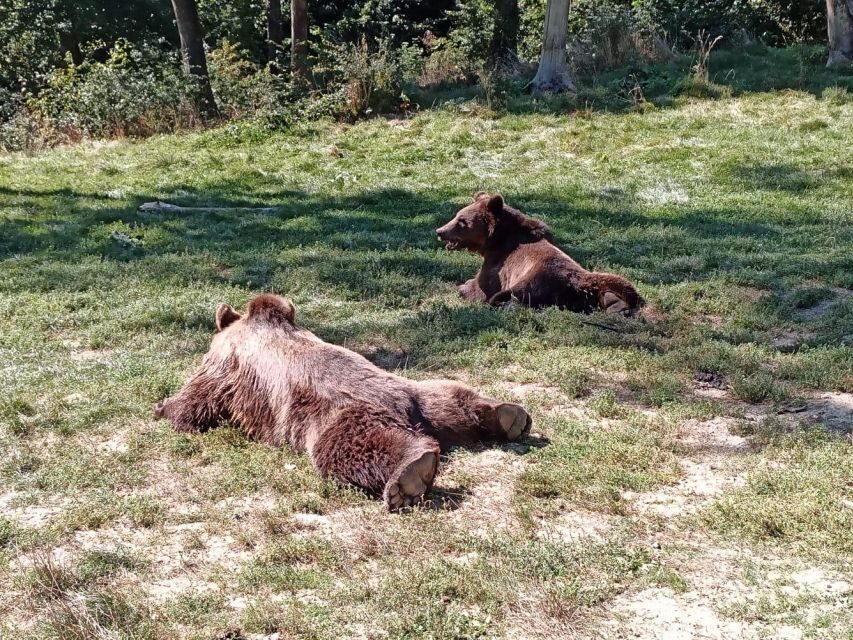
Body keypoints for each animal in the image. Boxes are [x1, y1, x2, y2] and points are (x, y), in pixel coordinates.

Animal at [154, 294, 532, 511]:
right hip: (425, 395)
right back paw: (508, 416)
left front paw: (165, 408)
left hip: (338, 417)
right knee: (452, 397)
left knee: (350, 448)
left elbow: (199, 394)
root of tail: (406, 409)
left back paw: (410, 474)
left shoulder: (225, 364)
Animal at [436, 192, 644, 315]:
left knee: (509, 295)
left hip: (535, 279)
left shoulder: (499, 264)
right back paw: (615, 305)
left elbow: (481, 286)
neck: (496, 240)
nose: (440, 231)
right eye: (456, 215)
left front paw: (464, 286)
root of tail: (575, 283)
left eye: (462, 221)